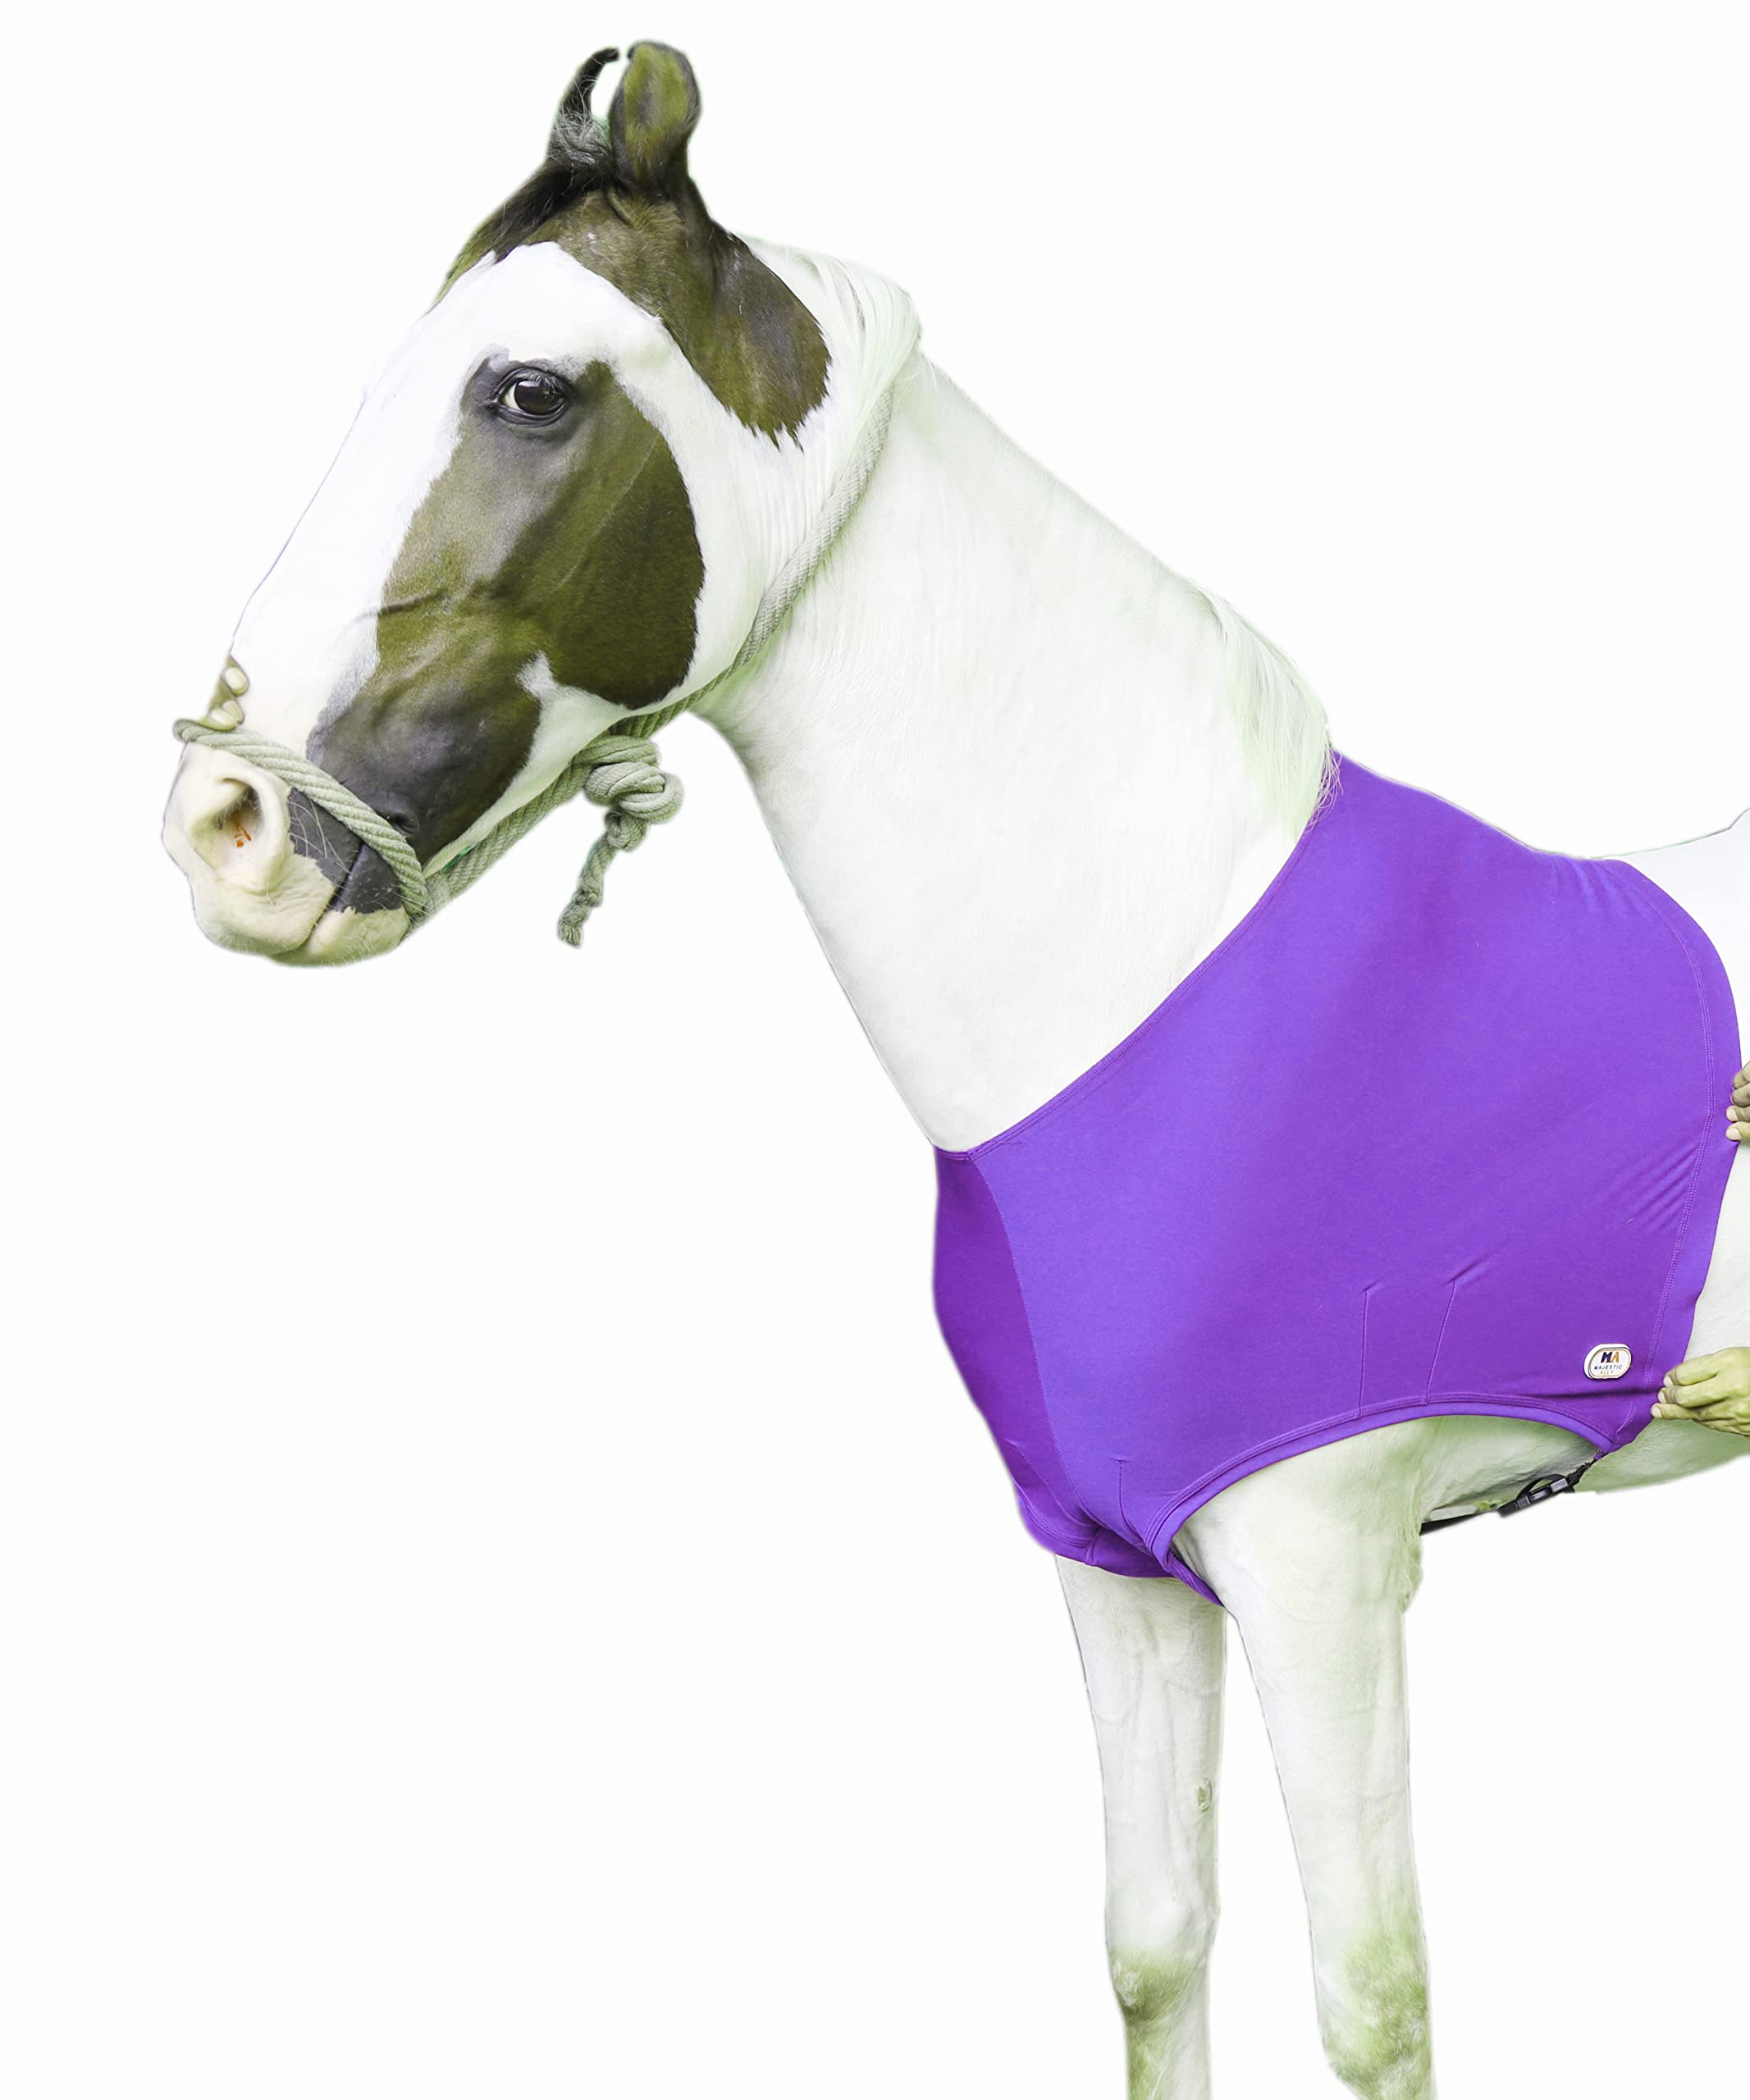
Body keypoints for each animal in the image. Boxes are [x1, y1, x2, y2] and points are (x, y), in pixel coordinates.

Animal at [161, 43, 1749, 2099]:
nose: (223, 826)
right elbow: (1156, 1945)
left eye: (525, 389)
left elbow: (1372, 1998)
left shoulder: (1321, 1558)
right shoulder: (1116, 1559)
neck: (1145, 981)